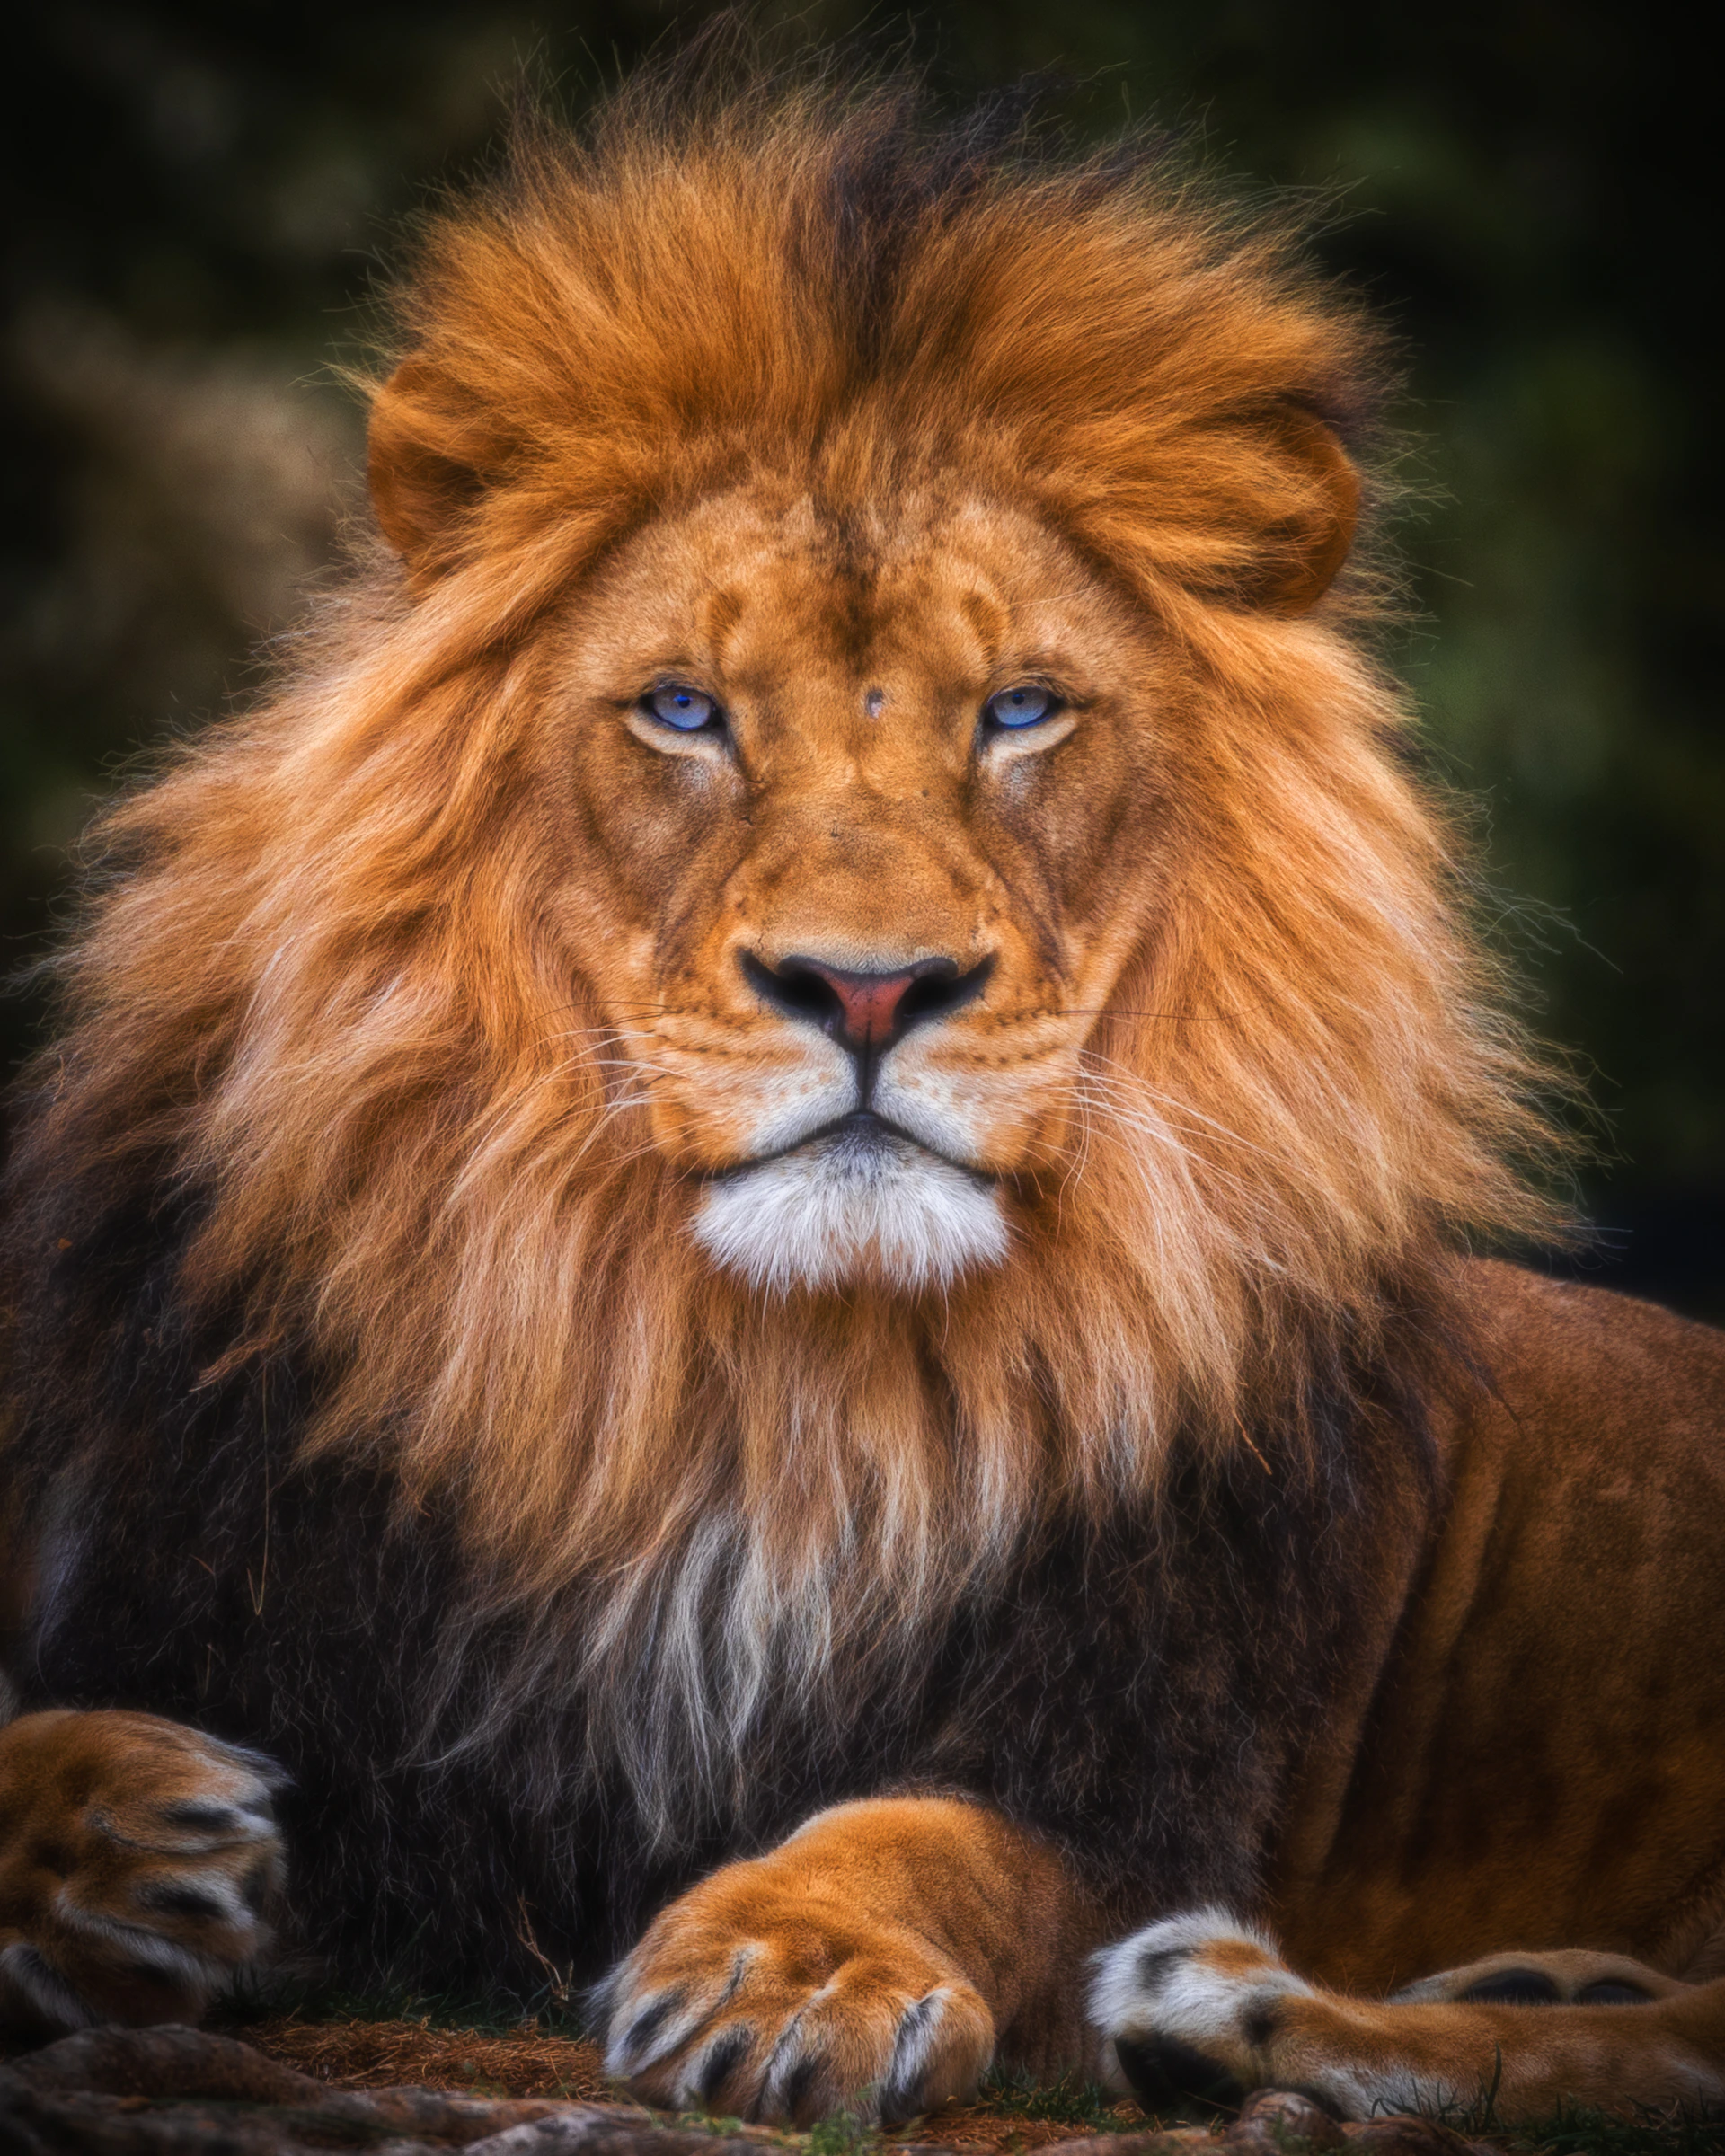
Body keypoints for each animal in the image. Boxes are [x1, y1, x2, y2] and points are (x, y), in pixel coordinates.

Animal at [3, 63, 1725, 2129]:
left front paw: (789, 1963)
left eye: (1021, 712)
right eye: (683, 711)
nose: (870, 987)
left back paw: (1236, 2009)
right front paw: (119, 1834)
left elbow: (936, 1838)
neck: (749, 1395)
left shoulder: (1133, 1764)